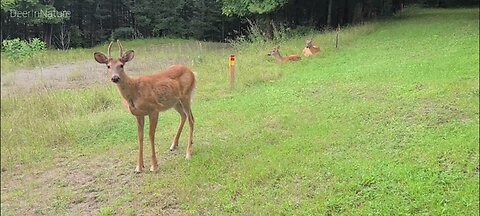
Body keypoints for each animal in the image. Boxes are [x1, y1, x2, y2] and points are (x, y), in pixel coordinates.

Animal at [94, 40, 196, 172]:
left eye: (121, 65)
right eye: (108, 66)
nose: (115, 77)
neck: (134, 91)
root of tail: (192, 72)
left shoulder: (154, 109)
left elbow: (151, 135)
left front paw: (154, 165)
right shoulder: (138, 114)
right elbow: (140, 137)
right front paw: (139, 166)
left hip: (186, 96)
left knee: (191, 119)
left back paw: (188, 153)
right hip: (175, 102)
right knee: (184, 116)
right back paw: (174, 145)